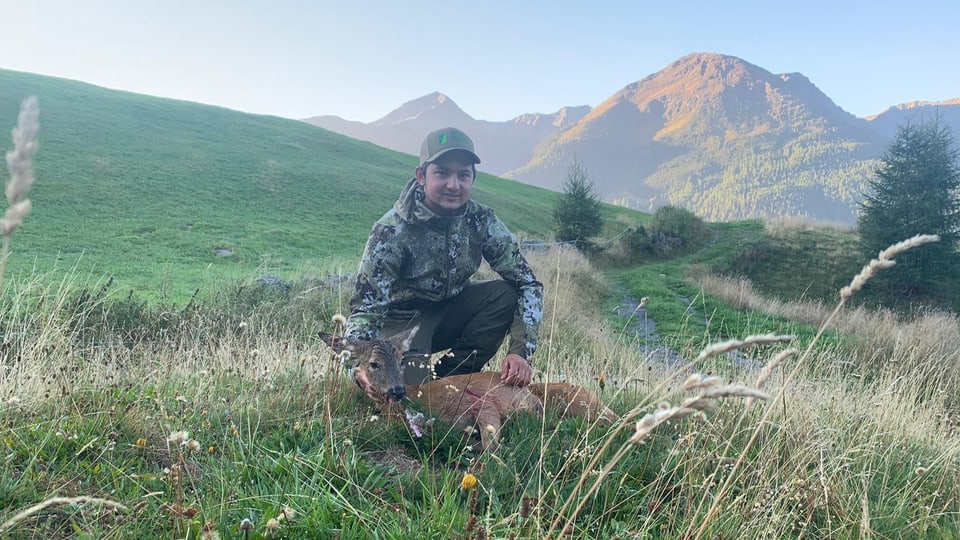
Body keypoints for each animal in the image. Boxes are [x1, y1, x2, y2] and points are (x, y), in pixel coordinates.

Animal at [318, 326, 620, 450]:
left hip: (580, 404)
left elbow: (492, 448)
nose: (397, 391)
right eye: (374, 364)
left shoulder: (481, 404)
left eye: (402, 360)